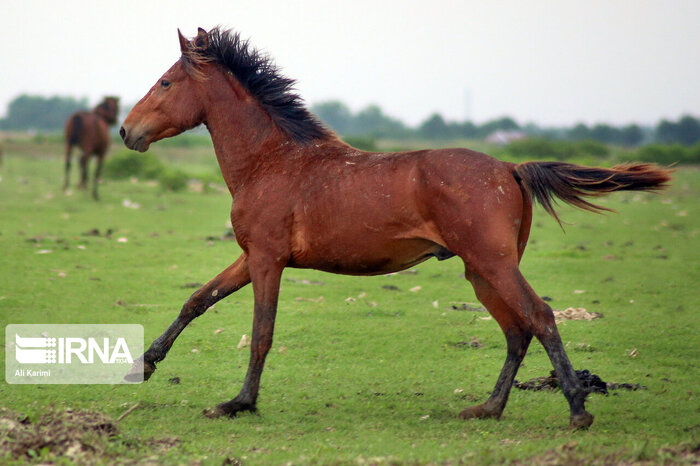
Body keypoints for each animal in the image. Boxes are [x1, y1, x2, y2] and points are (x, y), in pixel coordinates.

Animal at [121, 28, 672, 430]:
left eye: (166, 82)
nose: (128, 131)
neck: (270, 161)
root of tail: (511, 168)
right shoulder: (250, 255)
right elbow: (196, 300)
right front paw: (143, 365)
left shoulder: (268, 259)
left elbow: (261, 333)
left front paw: (238, 403)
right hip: (480, 271)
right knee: (517, 330)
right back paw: (487, 409)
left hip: (492, 263)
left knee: (540, 317)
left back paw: (577, 410)